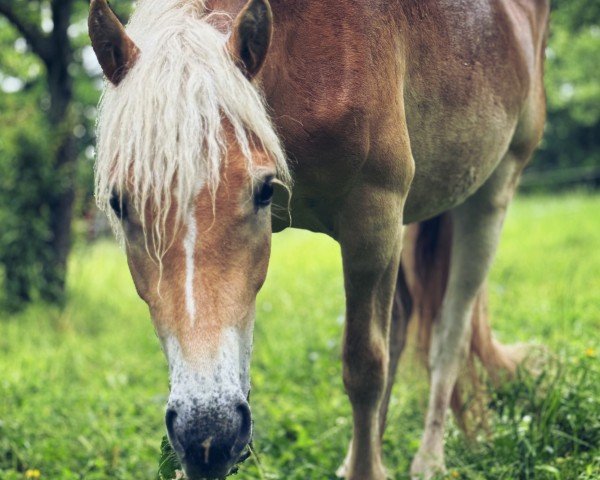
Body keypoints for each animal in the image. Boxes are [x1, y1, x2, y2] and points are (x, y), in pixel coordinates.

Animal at [86, 0, 552, 478]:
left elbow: (365, 367)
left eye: (264, 192)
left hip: (491, 195)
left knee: (448, 339)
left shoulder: (374, 218)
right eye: (119, 204)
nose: (208, 436)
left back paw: (428, 461)